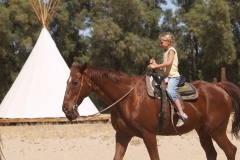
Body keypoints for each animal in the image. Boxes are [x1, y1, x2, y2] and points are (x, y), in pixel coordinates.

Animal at [62, 62, 240, 160]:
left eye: (75, 82)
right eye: (67, 82)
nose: (65, 109)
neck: (128, 97)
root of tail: (219, 86)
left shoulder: (149, 134)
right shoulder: (122, 135)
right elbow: (117, 157)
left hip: (216, 130)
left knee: (231, 150)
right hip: (203, 131)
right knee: (212, 154)